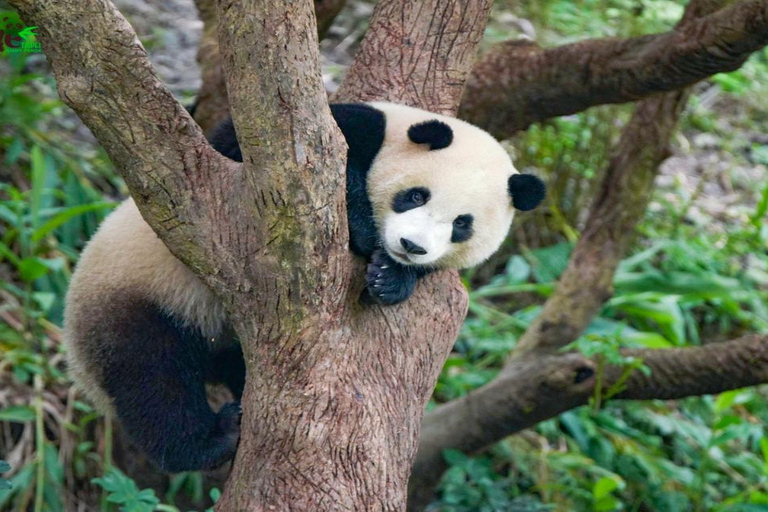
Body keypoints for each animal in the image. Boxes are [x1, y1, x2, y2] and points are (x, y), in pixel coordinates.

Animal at [64, 102, 544, 474]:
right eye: (415, 196)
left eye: (462, 225)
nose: (411, 246)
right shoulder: (345, 129)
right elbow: (254, 154)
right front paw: (366, 235)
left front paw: (392, 278)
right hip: (139, 299)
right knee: (152, 379)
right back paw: (212, 440)